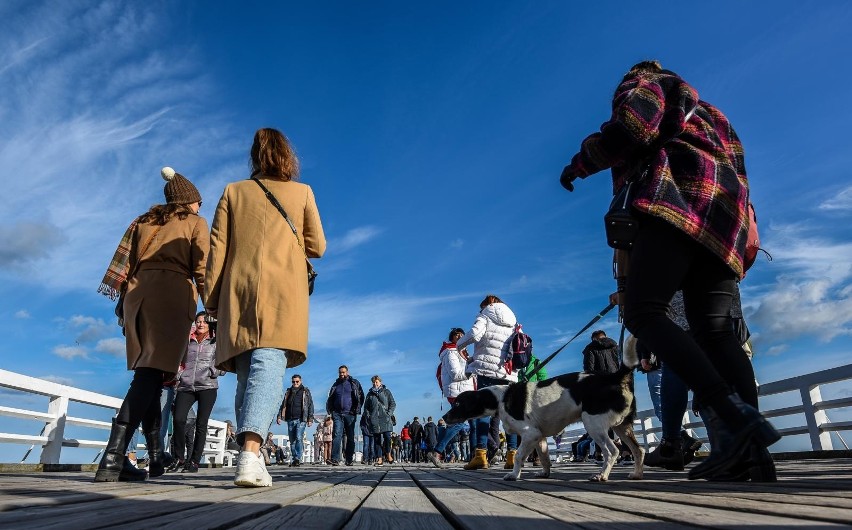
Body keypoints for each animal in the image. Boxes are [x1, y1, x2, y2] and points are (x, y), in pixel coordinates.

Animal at [442, 340, 644, 480]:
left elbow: (518, 457)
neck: (501, 398)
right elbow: (545, 458)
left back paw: (601, 475)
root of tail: (614, 377)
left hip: (593, 424)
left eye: (458, 404)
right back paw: (636, 474)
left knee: (613, 451)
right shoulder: (539, 437)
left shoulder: (529, 433)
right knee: (639, 450)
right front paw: (545, 473)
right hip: (622, 427)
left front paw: (514, 475)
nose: (443, 418)